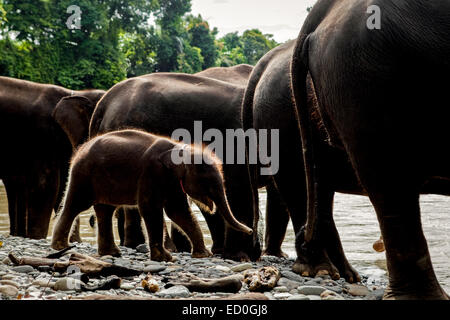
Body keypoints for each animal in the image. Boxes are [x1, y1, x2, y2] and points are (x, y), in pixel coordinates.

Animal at [0, 76, 104, 239]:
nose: (92, 221)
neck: (77, 93)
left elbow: (64, 187)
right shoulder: (43, 136)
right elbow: (46, 185)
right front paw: (37, 238)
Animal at [52, 129, 253, 262]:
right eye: (205, 180)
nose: (251, 230)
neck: (180, 148)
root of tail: (81, 148)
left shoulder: (173, 182)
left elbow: (178, 211)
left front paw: (203, 255)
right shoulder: (151, 173)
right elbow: (150, 208)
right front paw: (165, 258)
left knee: (105, 211)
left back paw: (111, 254)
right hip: (83, 175)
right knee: (76, 205)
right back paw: (60, 247)